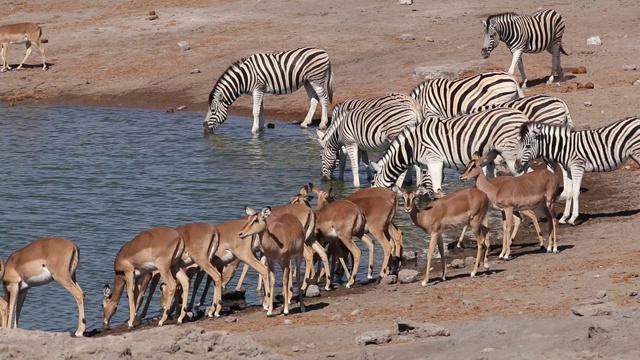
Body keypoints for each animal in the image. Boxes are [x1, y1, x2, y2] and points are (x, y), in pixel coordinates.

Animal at [204, 46, 336, 134]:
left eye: (213, 110)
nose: (204, 127)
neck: (244, 77)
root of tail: (324, 52)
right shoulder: (259, 91)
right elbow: (260, 110)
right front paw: (260, 129)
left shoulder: (257, 89)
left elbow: (255, 111)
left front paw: (253, 130)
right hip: (308, 81)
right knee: (314, 100)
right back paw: (305, 123)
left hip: (316, 80)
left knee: (323, 98)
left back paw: (322, 124)